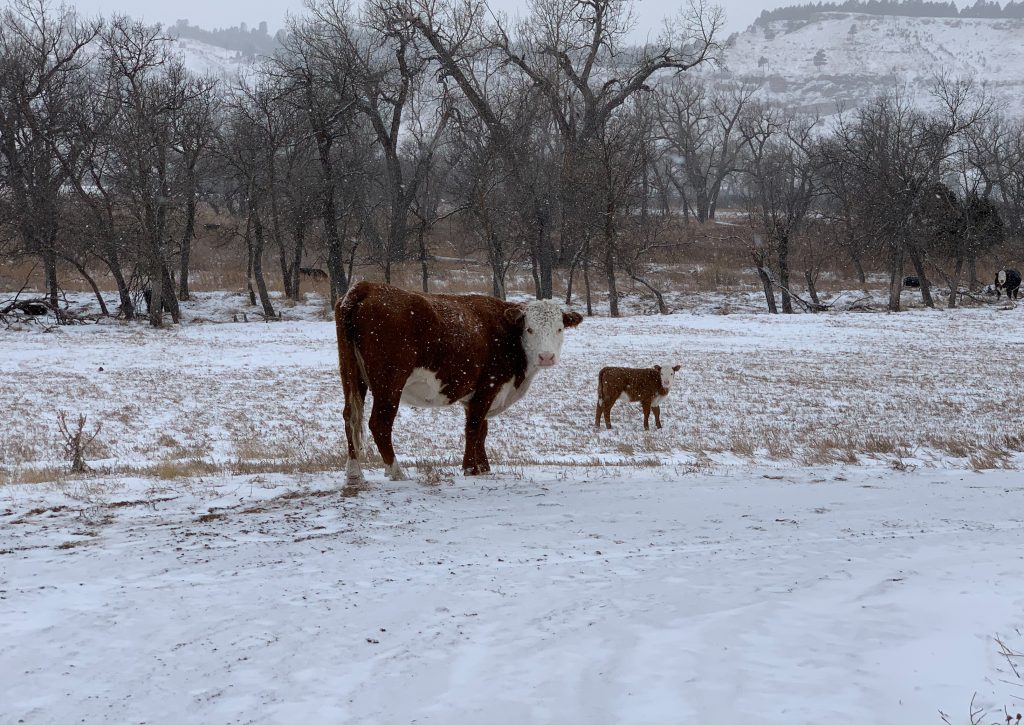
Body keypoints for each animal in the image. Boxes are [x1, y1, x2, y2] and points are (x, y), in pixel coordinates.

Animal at [335, 281, 583, 482]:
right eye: (530, 329)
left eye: (559, 328)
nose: (546, 357)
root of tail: (367, 287)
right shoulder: (488, 386)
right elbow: (473, 427)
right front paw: (470, 468)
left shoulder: (475, 395)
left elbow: (482, 429)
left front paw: (483, 467)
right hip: (390, 381)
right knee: (379, 423)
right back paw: (396, 472)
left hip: (351, 375)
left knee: (350, 416)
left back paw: (354, 472)